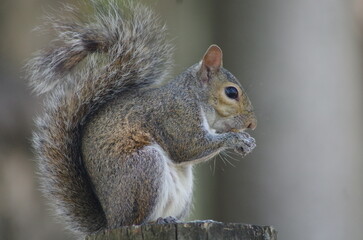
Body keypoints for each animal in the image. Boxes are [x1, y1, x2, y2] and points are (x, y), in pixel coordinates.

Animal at [26, 0, 258, 238]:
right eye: (231, 92)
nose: (252, 124)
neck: (193, 95)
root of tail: (109, 221)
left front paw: (247, 141)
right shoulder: (175, 115)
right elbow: (187, 146)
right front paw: (236, 140)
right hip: (143, 168)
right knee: (135, 221)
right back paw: (157, 221)